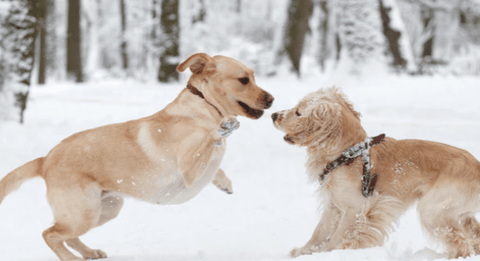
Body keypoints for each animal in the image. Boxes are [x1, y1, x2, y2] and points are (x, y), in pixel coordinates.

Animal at [0, 52, 274, 260]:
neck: (204, 106)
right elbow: (210, 140)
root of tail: (45, 159)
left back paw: (89, 252)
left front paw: (224, 183)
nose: (272, 99)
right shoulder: (189, 168)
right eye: (243, 80)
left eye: (253, 76)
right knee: (50, 234)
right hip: (84, 213)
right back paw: (71, 258)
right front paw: (222, 128)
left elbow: (217, 166)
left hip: (105, 210)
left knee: (65, 234)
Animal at [272, 87, 480, 258]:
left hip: (432, 210)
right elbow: (319, 232)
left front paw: (334, 254)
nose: (273, 114)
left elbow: (337, 238)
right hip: (459, 214)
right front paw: (304, 251)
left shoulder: (357, 208)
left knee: (461, 243)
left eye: (298, 112)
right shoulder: (334, 205)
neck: (348, 153)